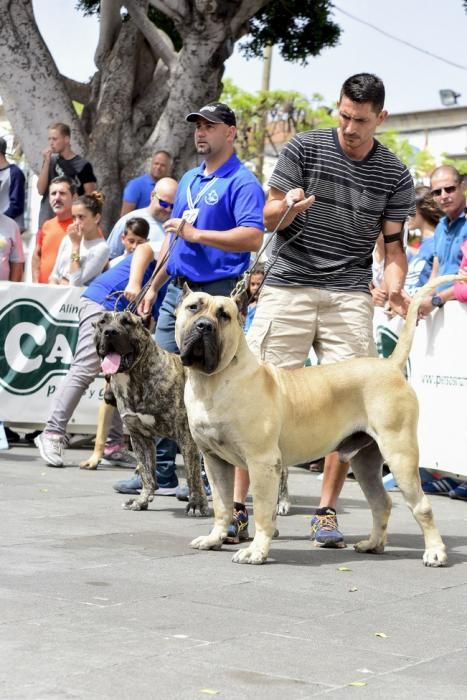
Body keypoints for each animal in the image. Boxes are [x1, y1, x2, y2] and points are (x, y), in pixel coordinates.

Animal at [94, 310, 209, 516]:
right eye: (102, 322)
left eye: (127, 322)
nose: (110, 332)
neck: (135, 377)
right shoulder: (139, 436)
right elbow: (146, 472)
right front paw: (141, 501)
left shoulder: (187, 436)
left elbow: (193, 474)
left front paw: (196, 504)